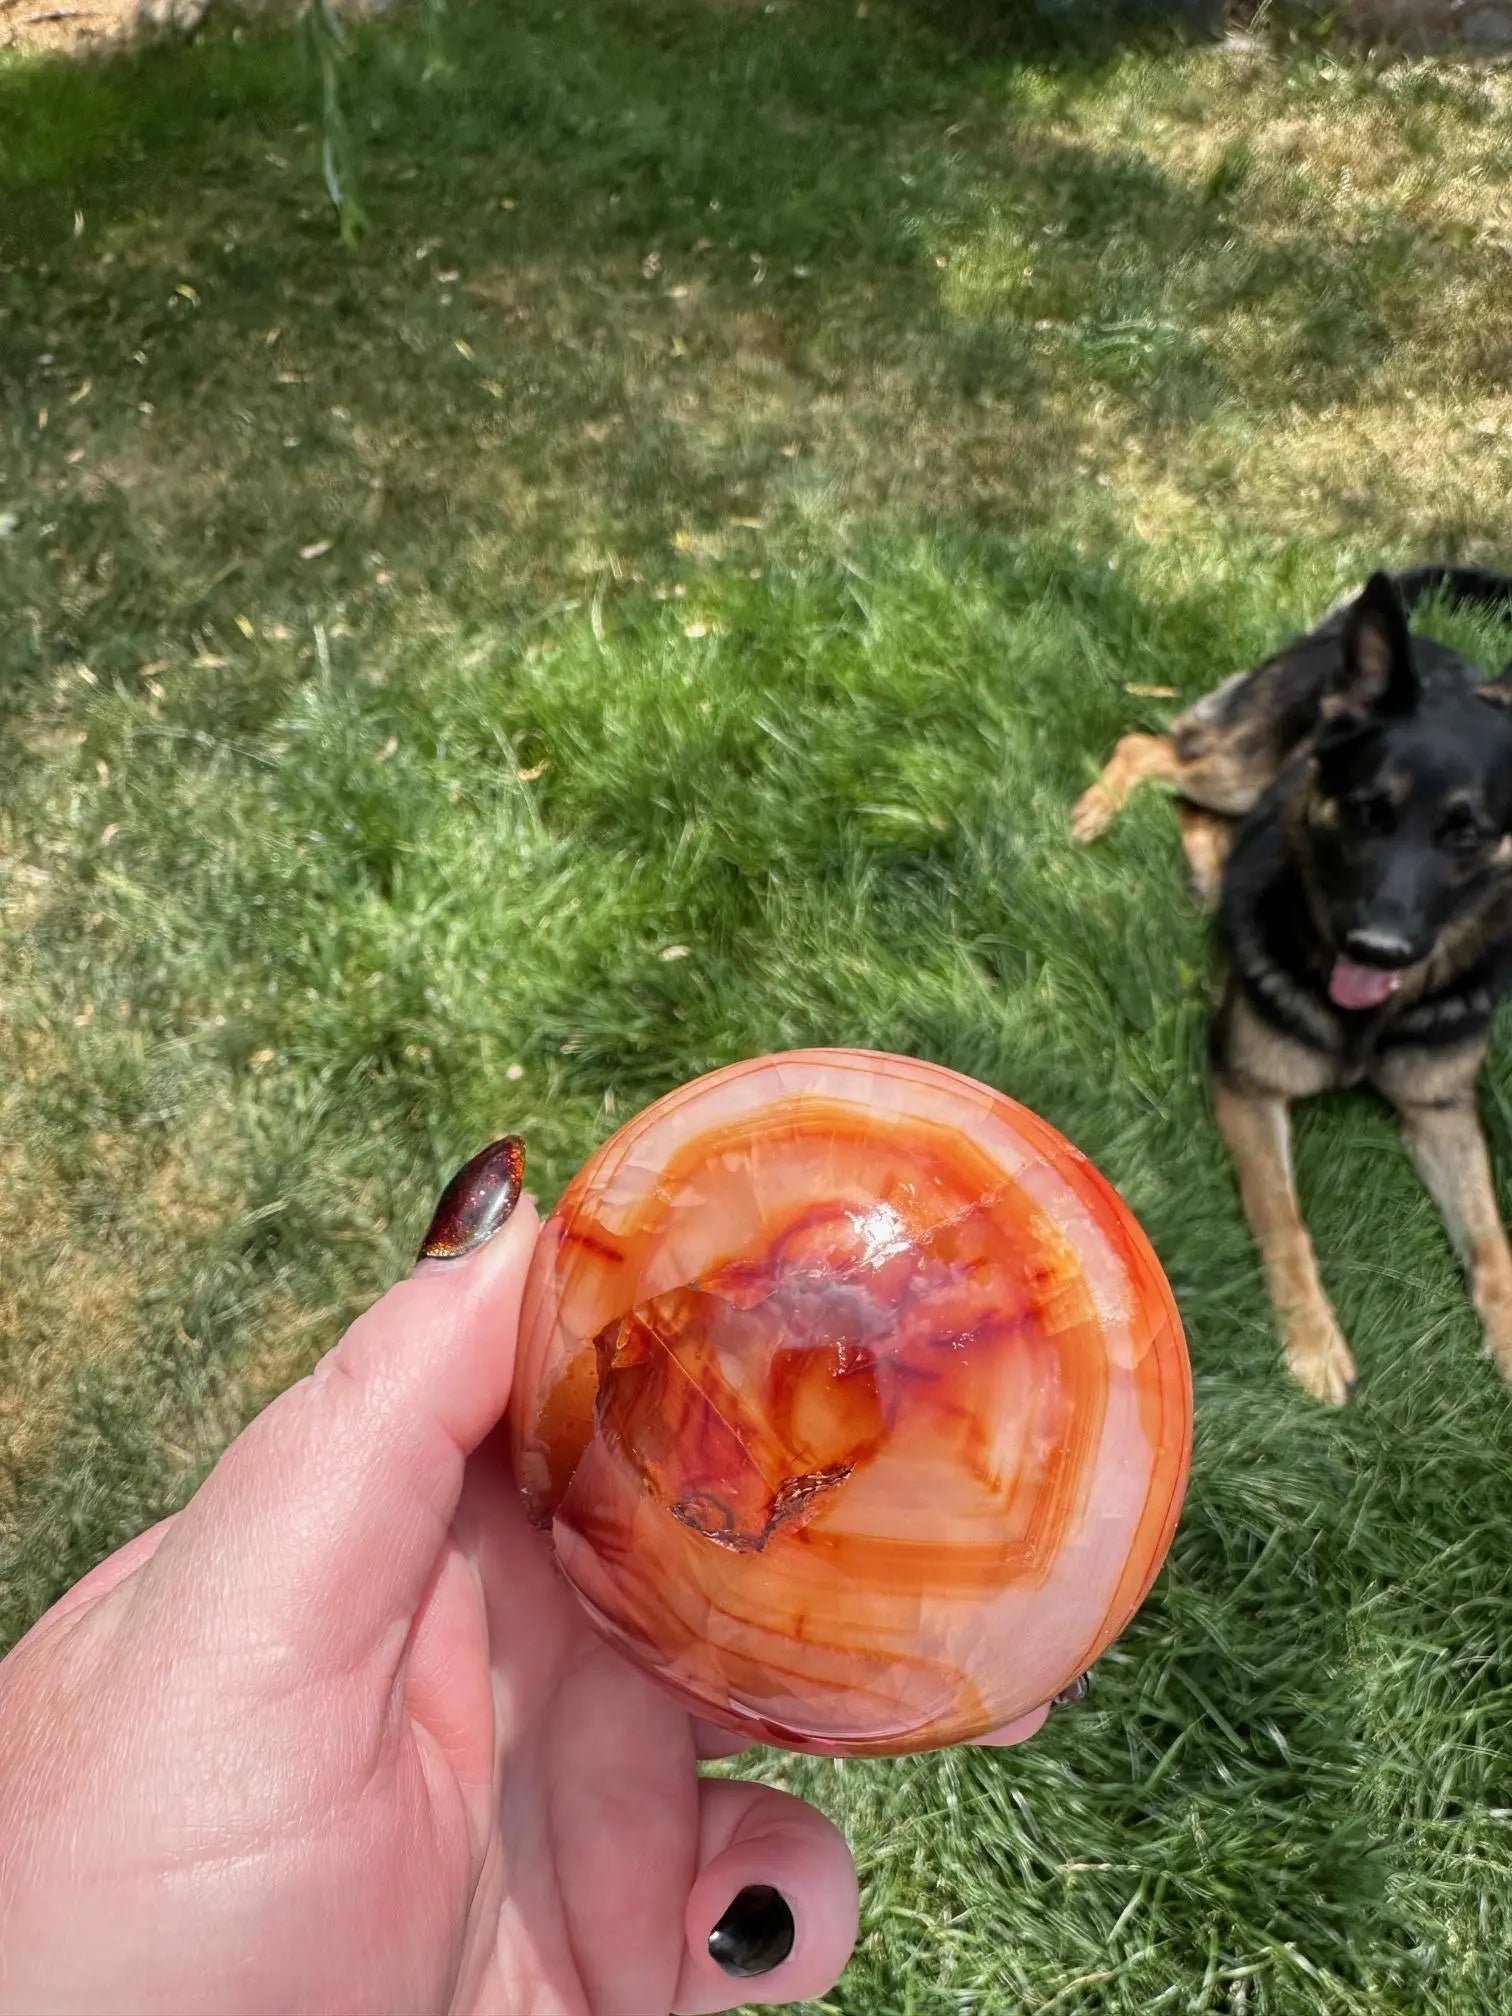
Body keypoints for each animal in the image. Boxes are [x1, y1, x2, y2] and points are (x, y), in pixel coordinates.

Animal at [1072, 568, 1512, 1403]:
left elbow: (1492, 1241)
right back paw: (1097, 810)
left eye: (1467, 833)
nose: (1375, 947)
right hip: (1241, 769)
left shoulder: (1440, 1114)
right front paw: (1312, 1342)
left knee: (1196, 808)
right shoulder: (1249, 1088)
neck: (1371, 1020)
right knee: (1150, 749)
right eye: (1370, 812)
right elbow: (1284, 1221)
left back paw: (1211, 874)